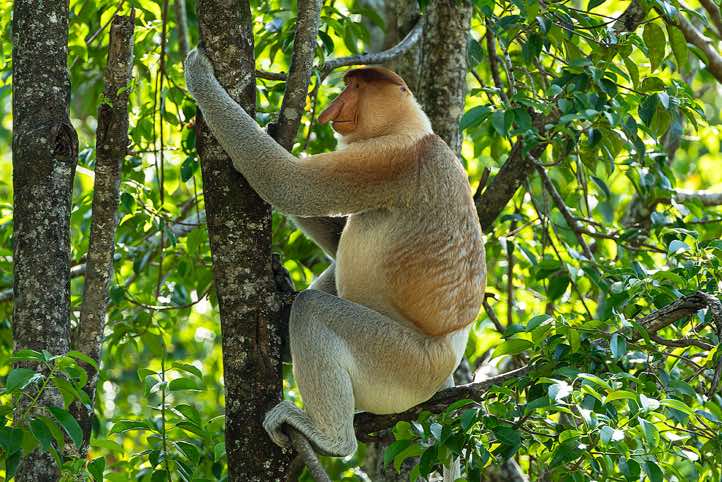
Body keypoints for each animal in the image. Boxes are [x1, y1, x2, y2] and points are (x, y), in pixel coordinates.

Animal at [184, 47, 485, 467]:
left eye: (355, 87)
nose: (331, 109)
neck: (414, 129)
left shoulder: (387, 158)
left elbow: (290, 184)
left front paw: (198, 75)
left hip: (403, 363)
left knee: (314, 310)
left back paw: (330, 438)